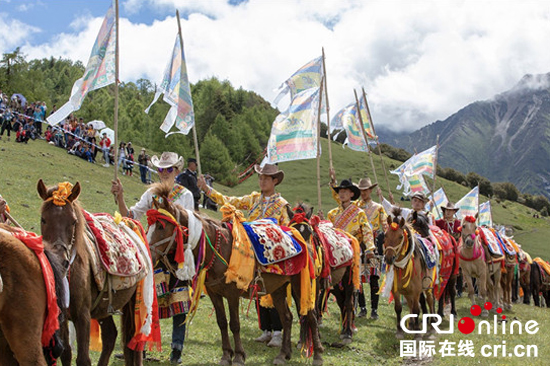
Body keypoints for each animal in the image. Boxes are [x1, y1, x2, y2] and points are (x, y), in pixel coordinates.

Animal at [37, 180, 142, 366]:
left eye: (73, 222)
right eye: (44, 219)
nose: (60, 261)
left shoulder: (83, 316)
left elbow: (83, 359)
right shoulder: (62, 315)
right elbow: (66, 353)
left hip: (132, 304)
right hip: (104, 308)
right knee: (110, 335)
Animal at [148, 184, 324, 366]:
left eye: (161, 226)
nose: (149, 252)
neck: (217, 248)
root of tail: (302, 240)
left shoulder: (232, 293)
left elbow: (234, 324)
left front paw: (239, 356)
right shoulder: (214, 294)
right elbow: (222, 322)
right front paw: (226, 355)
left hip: (301, 286)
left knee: (311, 316)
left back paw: (317, 355)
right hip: (278, 288)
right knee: (287, 317)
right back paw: (283, 354)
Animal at [386, 210, 438, 338]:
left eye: (400, 236)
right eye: (385, 235)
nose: (389, 258)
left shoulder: (416, 290)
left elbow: (416, 309)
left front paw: (418, 333)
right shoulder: (396, 289)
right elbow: (398, 308)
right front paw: (400, 331)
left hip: (428, 285)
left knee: (430, 300)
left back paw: (431, 326)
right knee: (410, 305)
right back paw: (410, 324)